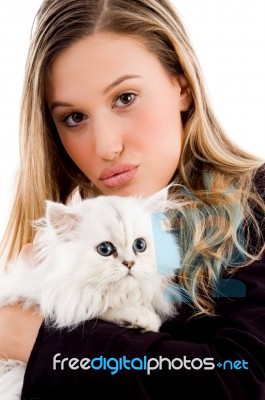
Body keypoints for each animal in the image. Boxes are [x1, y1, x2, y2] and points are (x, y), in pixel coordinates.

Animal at [0, 187, 182, 396]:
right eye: (105, 249)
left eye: (140, 245)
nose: (129, 263)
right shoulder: (57, 298)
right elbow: (97, 306)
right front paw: (143, 319)